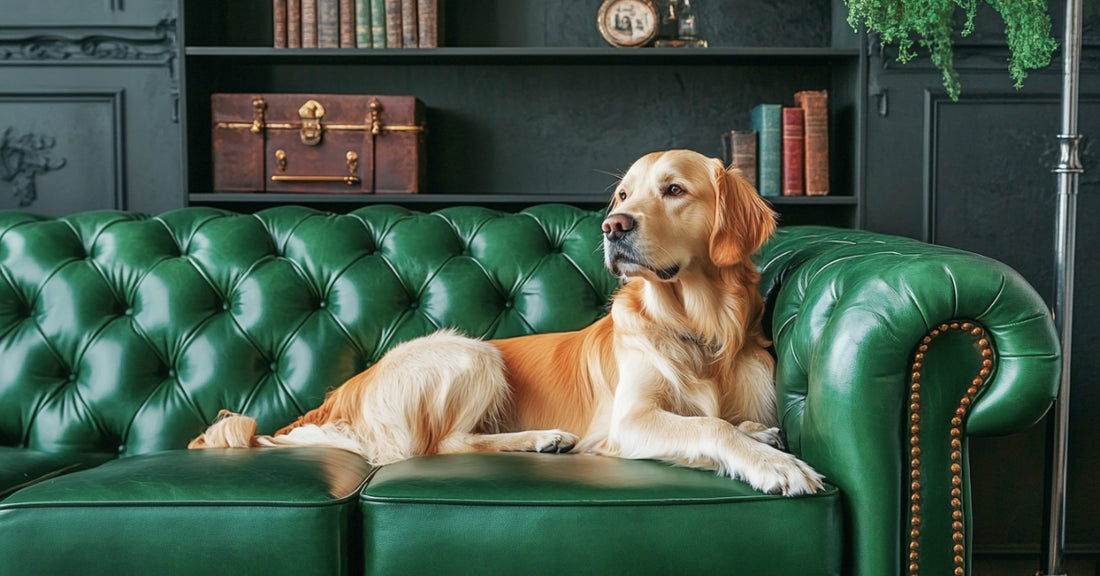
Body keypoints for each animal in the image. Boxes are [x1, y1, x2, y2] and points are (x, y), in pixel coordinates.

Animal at [189, 148, 827, 494]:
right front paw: (777, 466)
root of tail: (347, 389)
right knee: (440, 446)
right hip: (473, 352)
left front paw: (760, 436)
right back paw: (542, 439)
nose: (612, 227)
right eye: (623, 195)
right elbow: (709, 426)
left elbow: (726, 420)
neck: (698, 328)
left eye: (673, 189)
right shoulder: (629, 421)